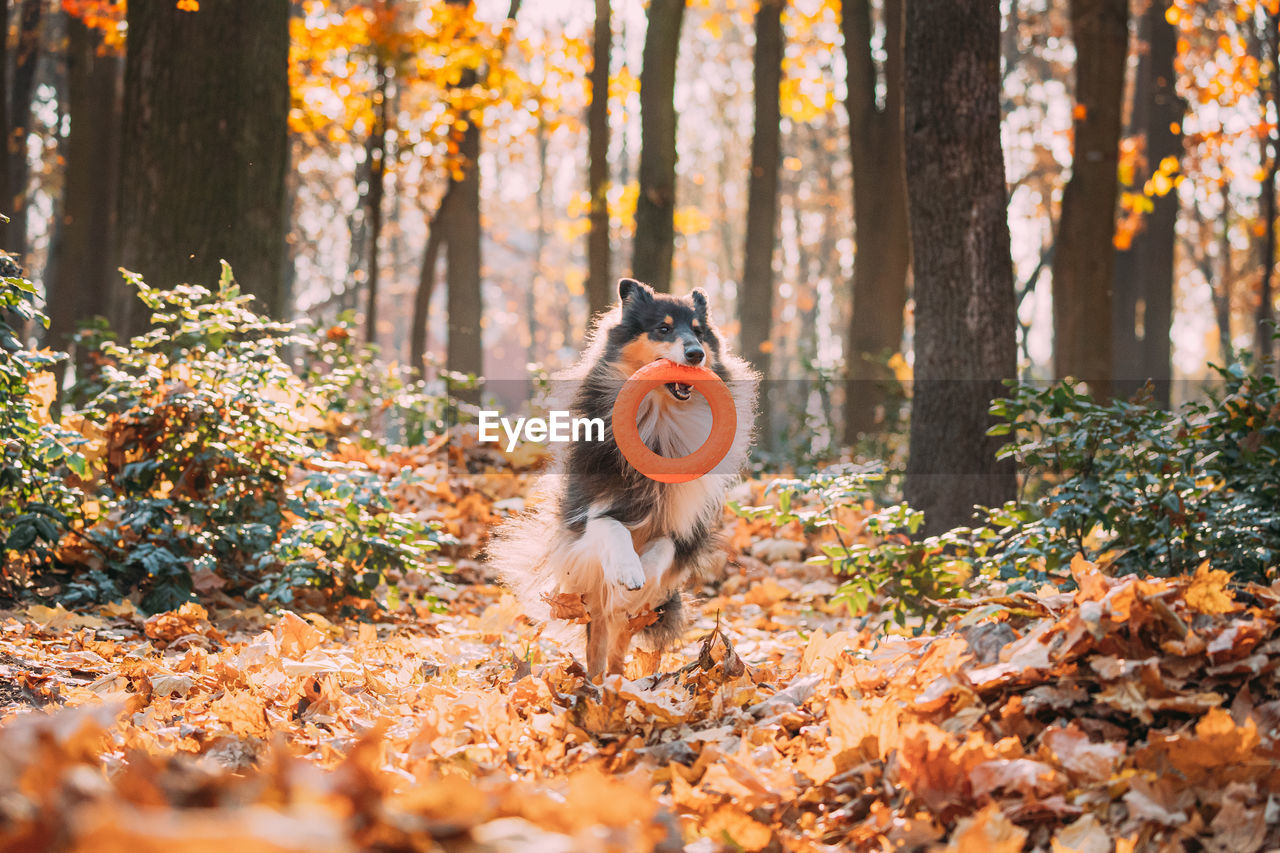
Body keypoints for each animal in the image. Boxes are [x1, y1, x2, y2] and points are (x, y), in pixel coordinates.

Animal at [486, 275, 747, 676]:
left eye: (699, 332)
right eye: (663, 329)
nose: (695, 355)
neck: (661, 424)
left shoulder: (686, 529)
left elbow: (664, 548)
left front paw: (641, 573)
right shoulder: (582, 519)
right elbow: (611, 526)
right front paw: (628, 569)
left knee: (620, 640)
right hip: (590, 596)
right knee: (597, 642)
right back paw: (595, 682)